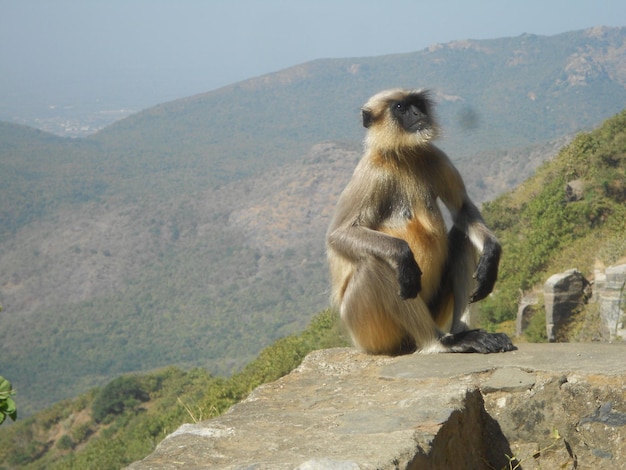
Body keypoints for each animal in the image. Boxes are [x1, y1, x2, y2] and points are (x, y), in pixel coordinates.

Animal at [324, 88, 516, 354]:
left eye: (418, 104)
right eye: (400, 107)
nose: (418, 114)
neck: (403, 156)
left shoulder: (435, 156)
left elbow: (462, 209)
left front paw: (492, 253)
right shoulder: (370, 172)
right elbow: (338, 234)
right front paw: (403, 253)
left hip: (434, 308)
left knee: (462, 234)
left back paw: (464, 333)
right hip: (368, 331)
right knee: (376, 263)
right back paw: (441, 342)